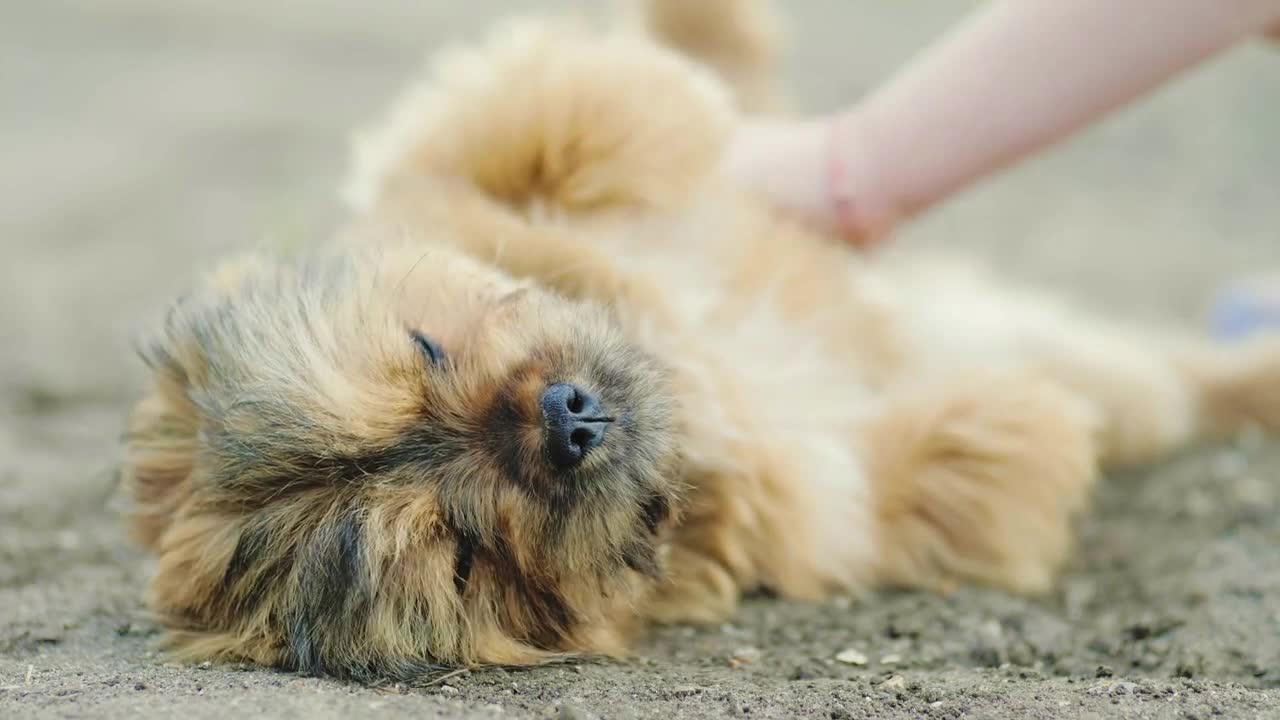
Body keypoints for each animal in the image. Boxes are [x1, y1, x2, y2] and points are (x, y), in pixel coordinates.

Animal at [120, 0, 1280, 676]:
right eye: (462, 552)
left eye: (427, 350)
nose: (568, 419)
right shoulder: (840, 512)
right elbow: (932, 472)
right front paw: (1003, 414)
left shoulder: (481, 156)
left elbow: (575, 105)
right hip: (1118, 378)